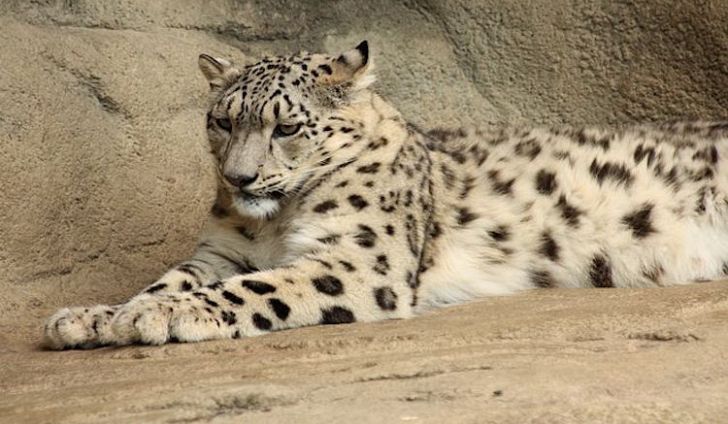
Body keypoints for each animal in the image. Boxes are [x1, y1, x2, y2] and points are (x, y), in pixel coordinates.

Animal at [43, 41, 728, 349]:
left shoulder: (357, 258)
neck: (270, 225)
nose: (239, 180)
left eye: (285, 127)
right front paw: (93, 315)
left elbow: (254, 288)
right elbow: (167, 279)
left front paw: (158, 317)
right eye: (222, 121)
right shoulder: (219, 252)